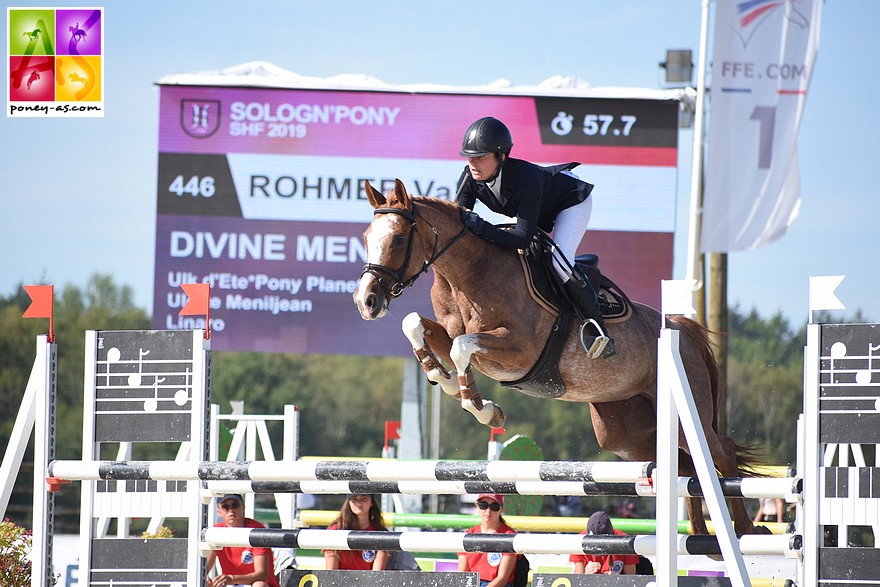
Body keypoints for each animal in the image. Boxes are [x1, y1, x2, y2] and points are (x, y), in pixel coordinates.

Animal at [354, 179, 768, 536]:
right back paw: (700, 535)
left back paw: (745, 531)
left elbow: (462, 348)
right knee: (684, 462)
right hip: (624, 433)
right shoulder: (452, 333)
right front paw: (445, 379)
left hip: (685, 410)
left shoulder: (519, 350)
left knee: (720, 454)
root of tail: (680, 328)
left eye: (399, 238)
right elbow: (414, 325)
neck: (467, 274)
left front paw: (483, 408)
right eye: (366, 238)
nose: (366, 301)